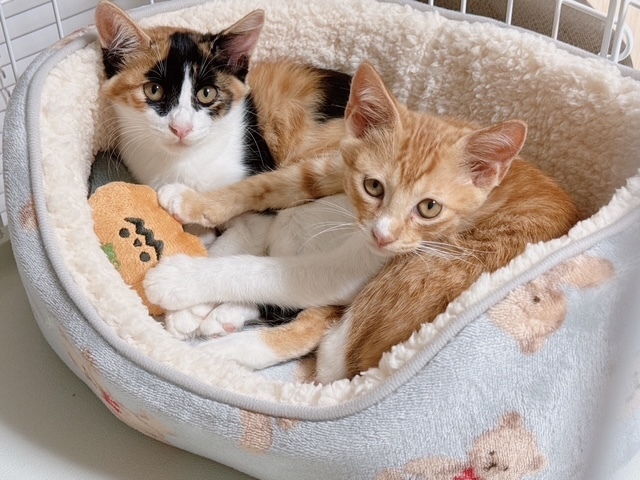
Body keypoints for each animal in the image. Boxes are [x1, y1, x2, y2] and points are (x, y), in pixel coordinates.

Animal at [95, 1, 351, 337]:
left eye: (206, 94)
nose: (181, 128)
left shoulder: (260, 201)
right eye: (153, 90)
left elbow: (230, 245)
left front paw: (185, 305)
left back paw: (223, 311)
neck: (183, 161)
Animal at [145, 61, 580, 382]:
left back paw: (216, 352)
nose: (382, 234)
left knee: (318, 336)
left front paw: (177, 281)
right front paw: (192, 207)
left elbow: (259, 270)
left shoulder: (349, 268)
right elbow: (268, 190)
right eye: (373, 186)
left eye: (429, 208)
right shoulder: (324, 171)